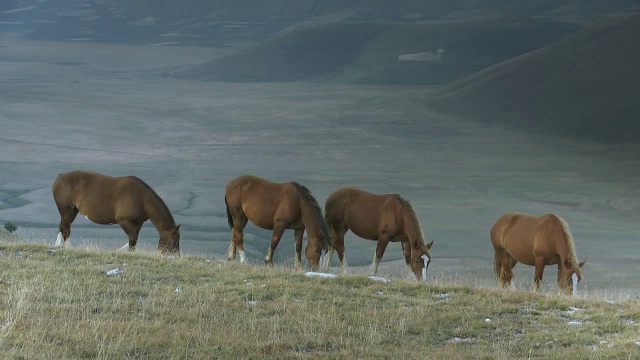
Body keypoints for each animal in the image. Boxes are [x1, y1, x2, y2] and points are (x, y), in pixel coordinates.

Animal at [51, 170, 181, 255]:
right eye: (174, 241)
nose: (174, 256)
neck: (141, 198)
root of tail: (60, 177)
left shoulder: (138, 223)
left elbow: (134, 240)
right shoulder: (124, 221)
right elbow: (132, 239)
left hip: (72, 211)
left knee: (64, 228)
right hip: (67, 211)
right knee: (65, 229)